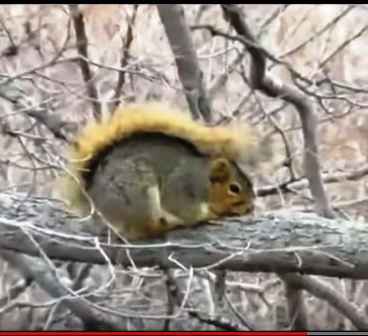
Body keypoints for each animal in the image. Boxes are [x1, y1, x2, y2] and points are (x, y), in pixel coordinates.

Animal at [61, 103, 268, 240]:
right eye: (234, 188)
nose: (250, 208)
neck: (203, 178)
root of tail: (92, 200)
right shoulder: (182, 186)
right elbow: (181, 207)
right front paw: (209, 214)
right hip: (139, 194)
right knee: (146, 228)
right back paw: (167, 225)